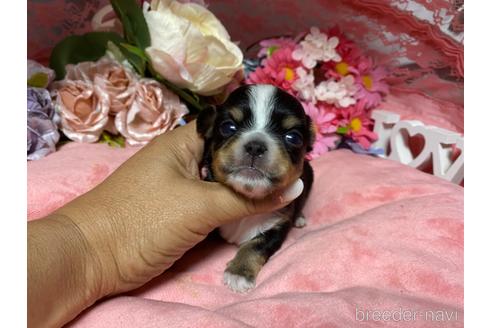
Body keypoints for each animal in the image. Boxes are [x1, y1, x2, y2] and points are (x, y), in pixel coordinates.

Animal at [195, 84, 314, 292]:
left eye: (293, 137)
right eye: (227, 127)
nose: (255, 146)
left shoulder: (278, 225)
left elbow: (255, 245)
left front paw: (238, 273)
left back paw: (299, 218)